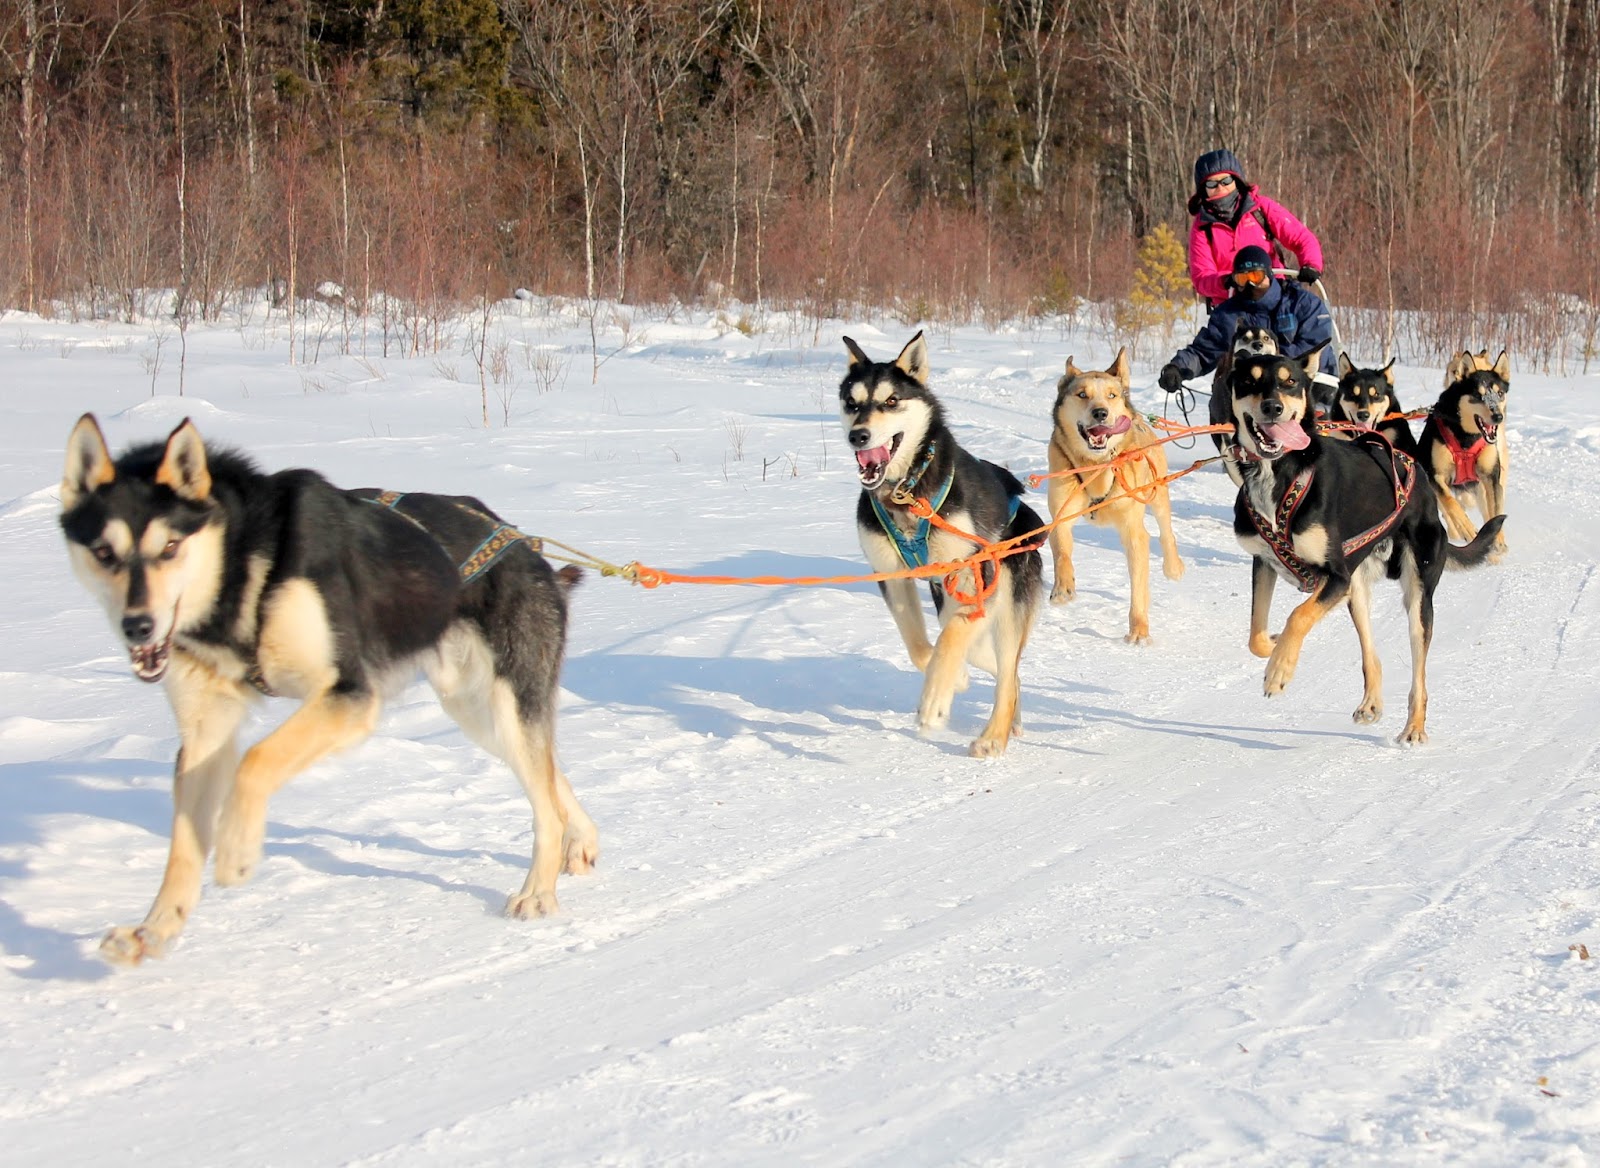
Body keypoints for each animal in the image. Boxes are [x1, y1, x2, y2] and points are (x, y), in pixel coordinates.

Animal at [59, 412, 601, 960]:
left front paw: (235, 851)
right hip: (474, 709)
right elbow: (184, 847)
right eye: (104, 552)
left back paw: (538, 891)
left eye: (169, 546)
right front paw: (153, 930)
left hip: (502, 703)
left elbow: (255, 761)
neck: (243, 570)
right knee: (549, 775)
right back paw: (580, 840)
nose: (137, 626)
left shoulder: (348, 695)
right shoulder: (206, 730)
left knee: (544, 800)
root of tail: (522, 545)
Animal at [844, 332, 1043, 758]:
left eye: (891, 400)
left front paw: (936, 699)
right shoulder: (891, 575)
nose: (858, 435)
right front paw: (956, 678)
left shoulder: (974, 573)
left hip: (1004, 598)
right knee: (1001, 667)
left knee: (1006, 675)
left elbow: (950, 640)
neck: (906, 491)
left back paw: (993, 736)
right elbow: (920, 646)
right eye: (852, 403)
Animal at [1043, 345, 1184, 640]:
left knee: (1166, 531)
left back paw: (1173, 566)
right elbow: (1062, 552)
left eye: (1111, 395)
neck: (1097, 468)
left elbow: (1138, 587)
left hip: (1157, 493)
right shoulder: (1061, 513)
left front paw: (1139, 629)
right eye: (1082, 394)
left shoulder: (1133, 531)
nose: (1100, 413)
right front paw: (1063, 587)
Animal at [1427, 348, 1510, 556]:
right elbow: (1451, 504)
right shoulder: (1436, 476)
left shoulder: (1491, 477)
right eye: (1478, 395)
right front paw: (1467, 529)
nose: (1497, 416)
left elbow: (1495, 510)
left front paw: (1497, 539)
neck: (1467, 437)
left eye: (1500, 393)